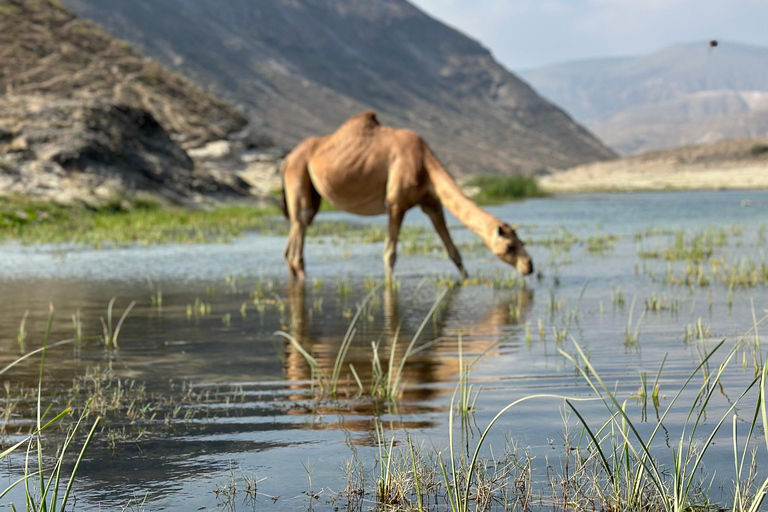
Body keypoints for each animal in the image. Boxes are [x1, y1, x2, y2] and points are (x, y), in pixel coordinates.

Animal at [280, 110, 536, 282]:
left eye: (522, 242)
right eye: (510, 246)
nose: (530, 266)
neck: (424, 163)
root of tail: (288, 159)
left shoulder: (430, 202)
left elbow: (453, 250)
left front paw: (466, 278)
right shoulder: (396, 203)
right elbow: (390, 254)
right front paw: (389, 284)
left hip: (312, 193)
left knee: (298, 227)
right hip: (299, 175)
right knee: (299, 231)